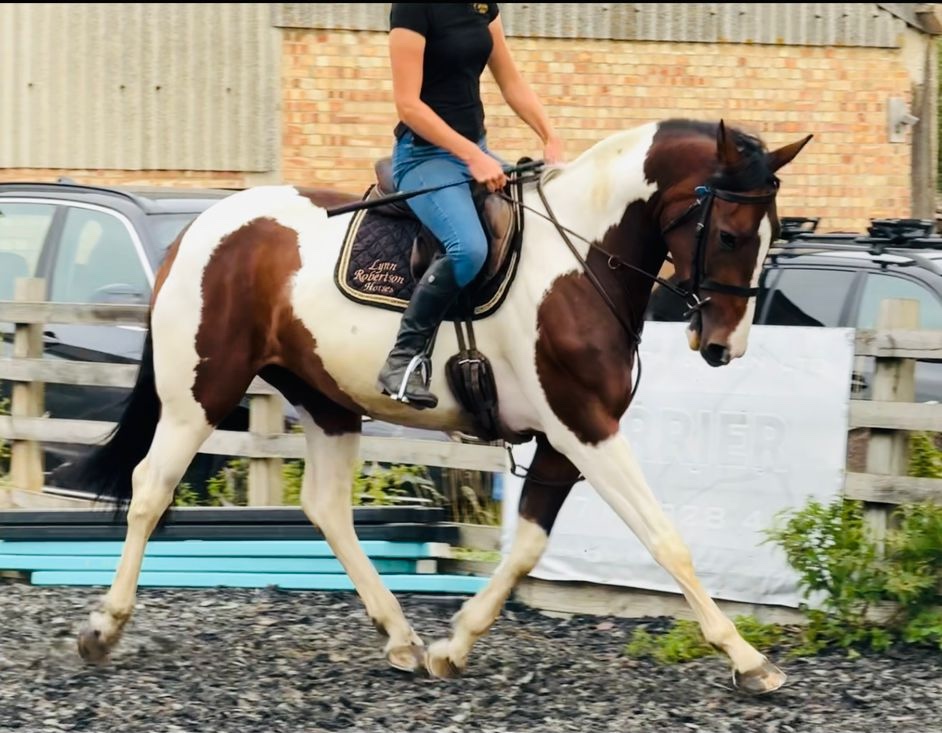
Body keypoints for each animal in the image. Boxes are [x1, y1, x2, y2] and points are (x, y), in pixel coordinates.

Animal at [71, 118, 811, 695]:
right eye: (730, 235)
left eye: (771, 235)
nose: (723, 346)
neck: (580, 261)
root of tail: (201, 225)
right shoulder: (585, 428)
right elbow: (666, 540)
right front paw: (748, 659)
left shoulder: (562, 440)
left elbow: (528, 545)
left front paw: (454, 646)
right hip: (200, 393)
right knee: (151, 487)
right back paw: (103, 628)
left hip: (327, 400)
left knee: (326, 506)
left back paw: (401, 638)